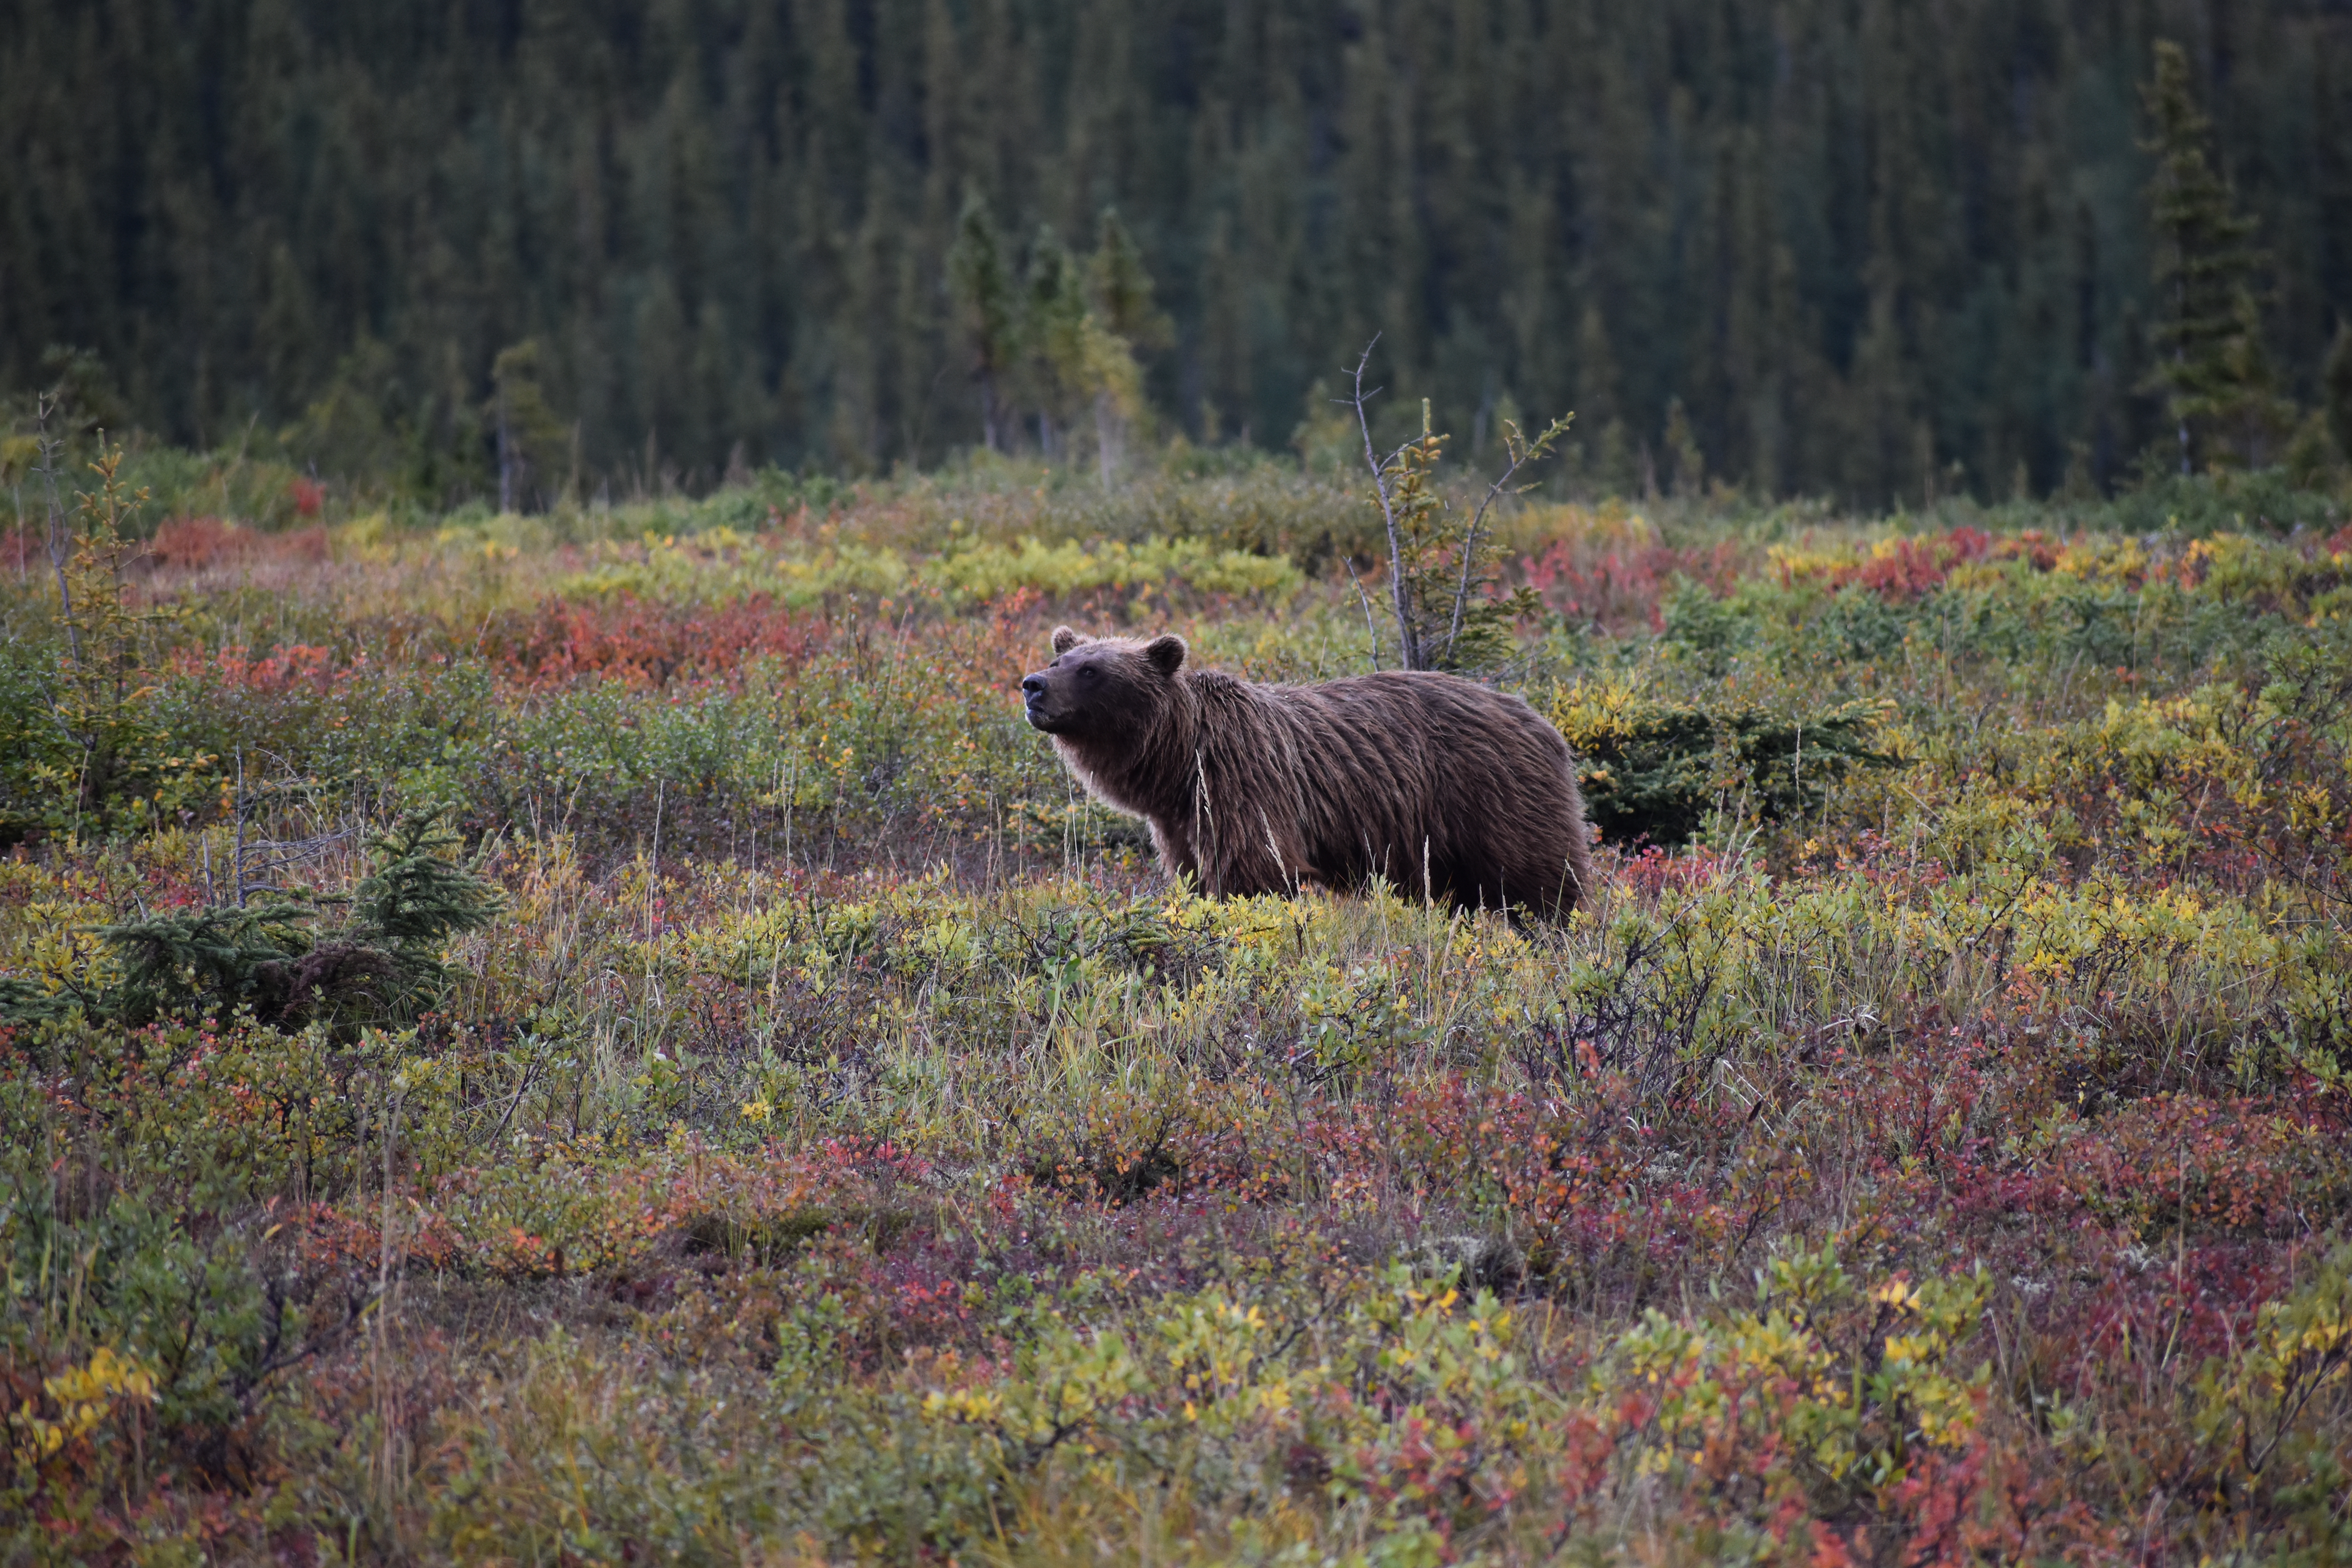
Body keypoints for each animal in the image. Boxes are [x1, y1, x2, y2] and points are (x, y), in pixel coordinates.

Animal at [1021, 625, 1595, 919]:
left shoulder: (1242, 783)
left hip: (1493, 797)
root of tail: (1546, 723)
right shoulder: (1179, 820)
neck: (1178, 762)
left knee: (1539, 881)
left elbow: (1254, 875)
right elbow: (1193, 875)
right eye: (1060, 660)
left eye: (1091, 670)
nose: (1032, 686)